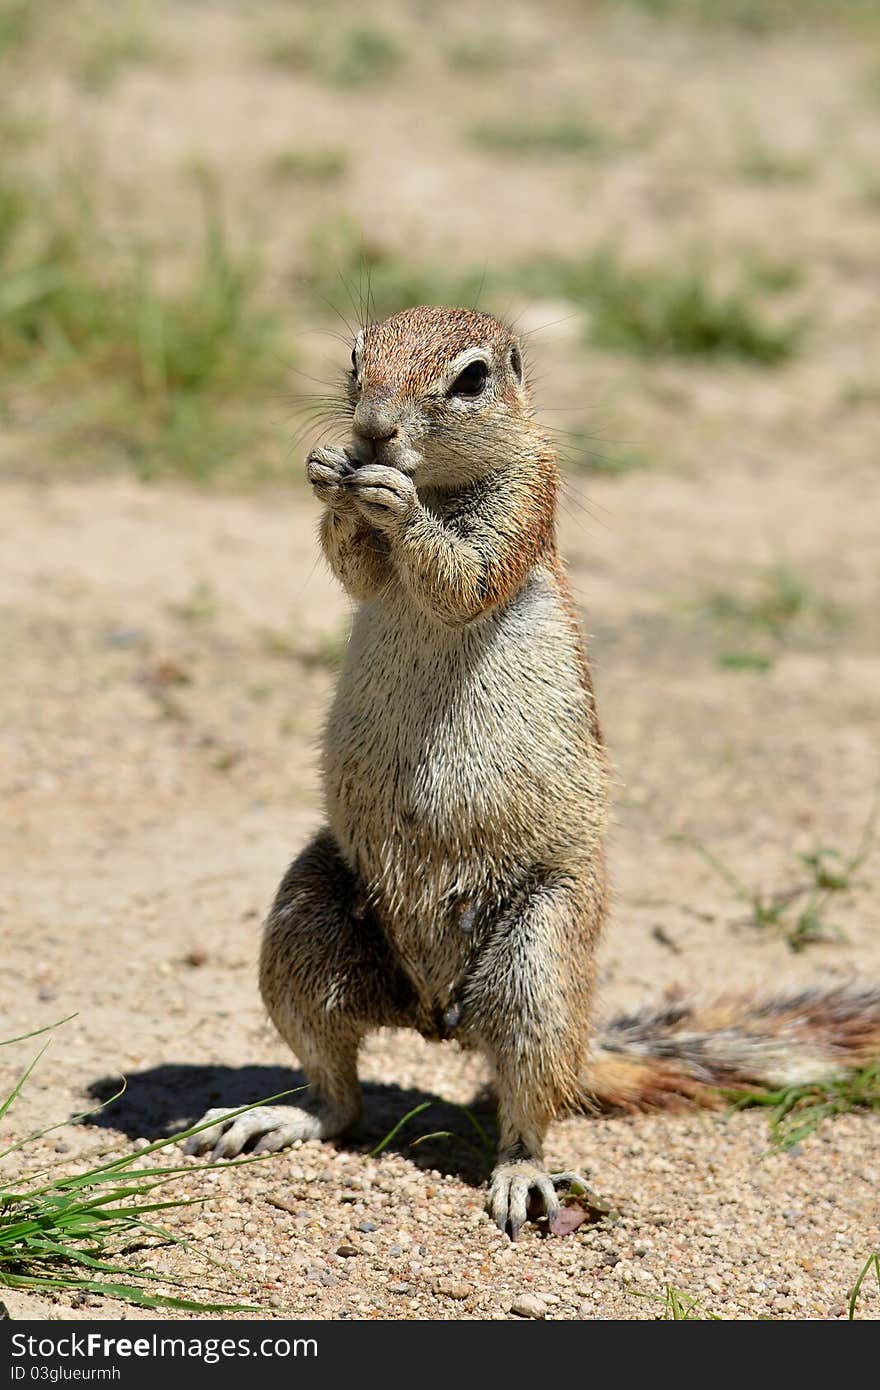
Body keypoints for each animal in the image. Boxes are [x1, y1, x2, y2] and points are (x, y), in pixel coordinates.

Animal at [189, 304, 878, 1239]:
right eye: (358, 355)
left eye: (473, 378)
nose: (371, 429)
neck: (442, 481)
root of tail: (435, 1015)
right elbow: (356, 569)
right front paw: (330, 474)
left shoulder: (527, 504)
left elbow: (464, 576)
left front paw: (392, 503)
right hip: (306, 920)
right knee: (341, 1094)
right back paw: (278, 1116)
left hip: (542, 958)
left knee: (526, 1101)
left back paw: (521, 1177)